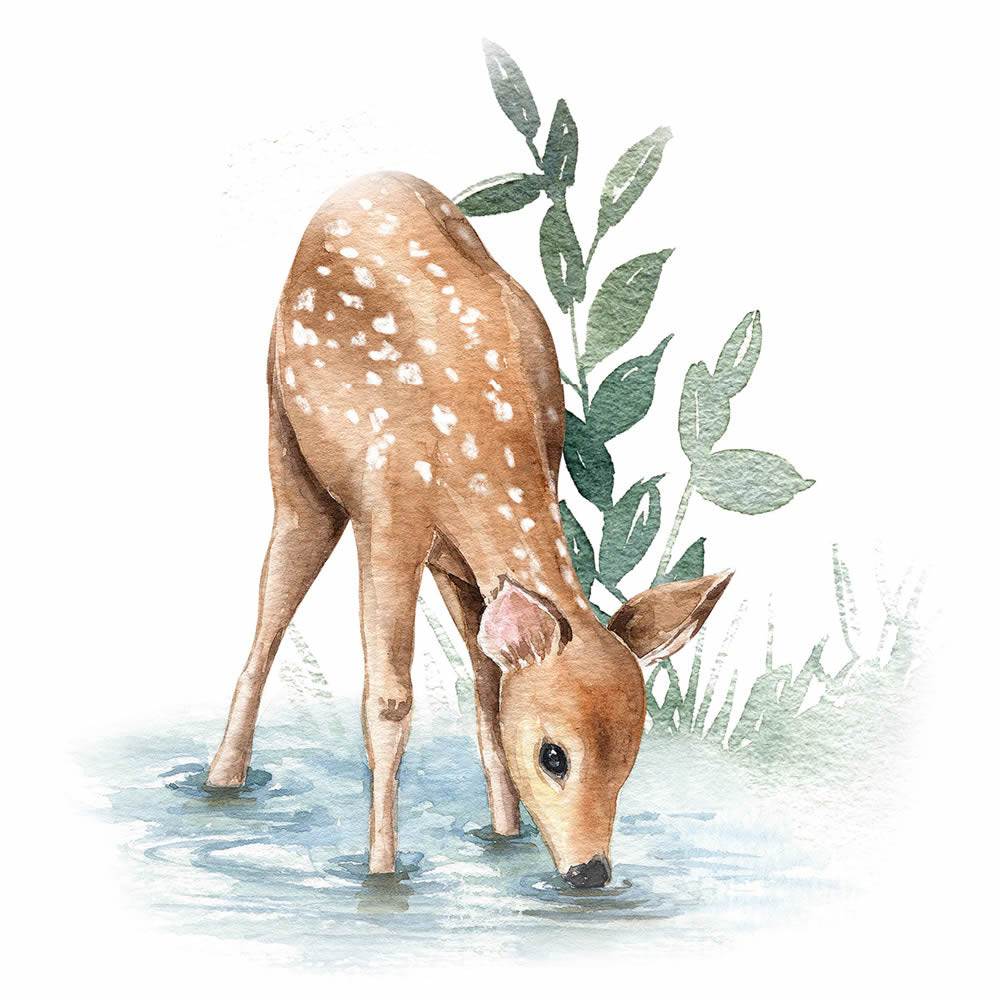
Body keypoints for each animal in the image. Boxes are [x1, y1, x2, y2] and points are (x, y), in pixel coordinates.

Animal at [206, 172, 732, 888]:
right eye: (554, 755)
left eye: (632, 756)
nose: (590, 872)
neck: (477, 444)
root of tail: (365, 181)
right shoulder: (389, 519)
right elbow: (389, 702)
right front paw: (381, 875)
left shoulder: (462, 559)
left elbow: (488, 698)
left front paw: (502, 839)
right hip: (291, 448)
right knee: (270, 614)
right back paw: (220, 783)